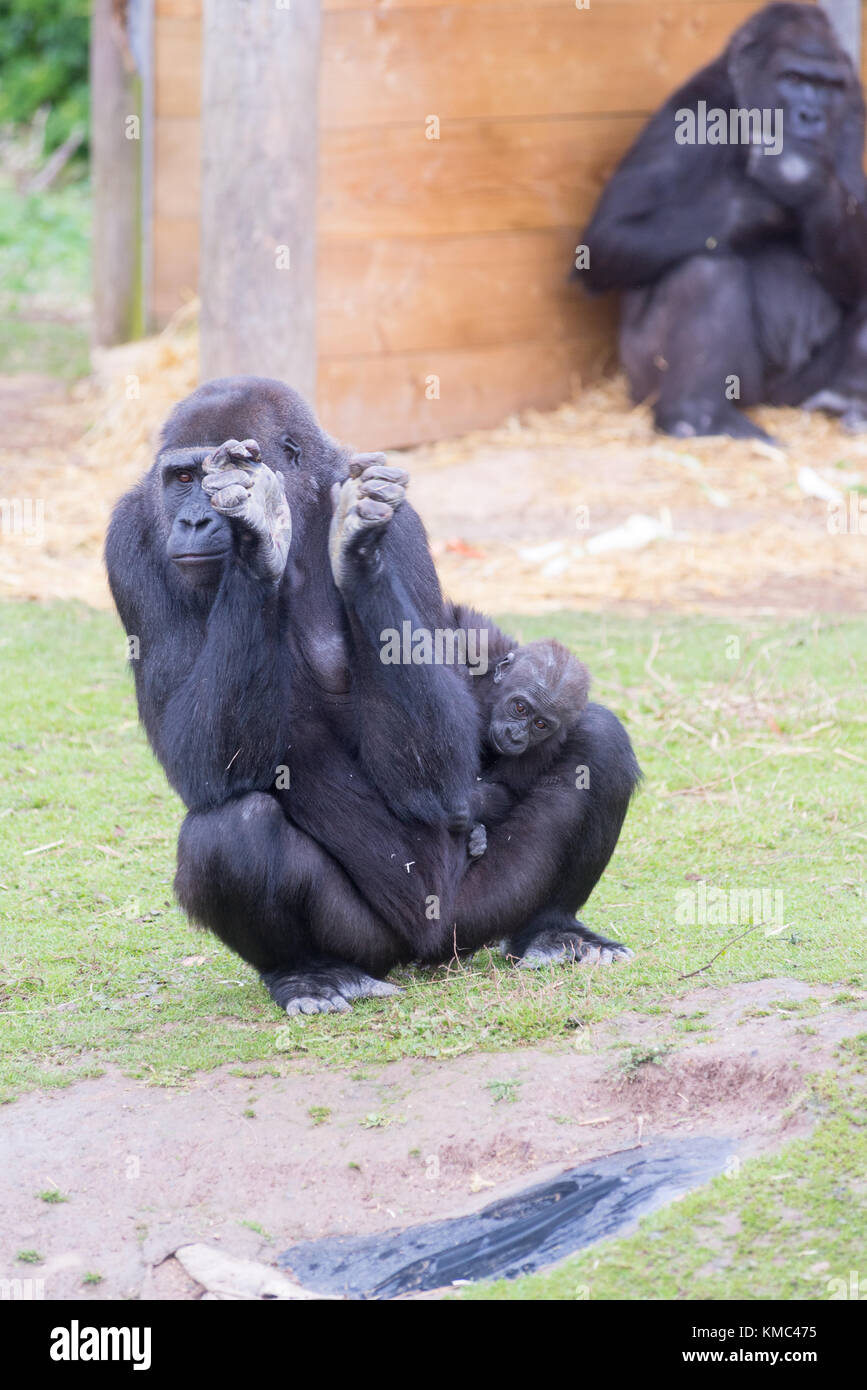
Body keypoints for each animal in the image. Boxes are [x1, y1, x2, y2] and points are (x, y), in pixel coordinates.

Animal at [578, 2, 867, 436]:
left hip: (794, 393)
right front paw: (764, 196)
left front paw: (801, 177)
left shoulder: (851, 111)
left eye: (828, 86)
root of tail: (767, 401)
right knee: (706, 267)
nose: (811, 116)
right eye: (793, 78)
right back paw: (695, 414)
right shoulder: (692, 109)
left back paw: (847, 398)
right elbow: (607, 237)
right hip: (643, 380)